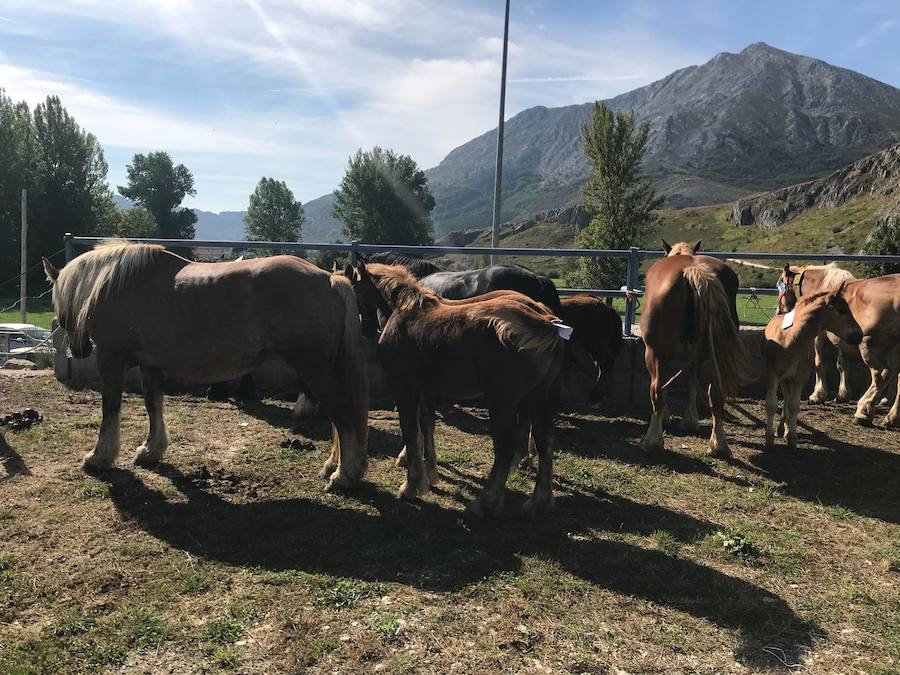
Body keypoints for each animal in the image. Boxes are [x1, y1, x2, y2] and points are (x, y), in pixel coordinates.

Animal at [43, 239, 370, 492]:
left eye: (59, 304)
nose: (79, 350)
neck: (116, 282)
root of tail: (329, 279)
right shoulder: (151, 366)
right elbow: (153, 404)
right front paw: (150, 450)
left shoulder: (112, 359)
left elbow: (110, 409)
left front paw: (99, 457)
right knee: (339, 420)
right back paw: (333, 467)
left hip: (315, 371)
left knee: (342, 415)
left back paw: (344, 475)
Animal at [348, 262, 568, 516]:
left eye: (353, 289)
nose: (364, 330)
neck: (407, 310)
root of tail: (546, 319)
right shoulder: (426, 391)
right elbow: (427, 427)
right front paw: (430, 474)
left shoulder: (404, 390)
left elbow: (411, 434)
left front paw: (411, 485)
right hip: (538, 397)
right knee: (544, 441)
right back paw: (539, 501)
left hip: (503, 401)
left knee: (506, 447)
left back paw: (485, 502)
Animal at [640, 240, 752, 456]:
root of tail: (692, 271)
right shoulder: (697, 357)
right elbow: (691, 382)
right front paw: (690, 420)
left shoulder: (664, 355)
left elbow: (667, 386)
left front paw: (668, 418)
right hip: (717, 354)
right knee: (716, 393)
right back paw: (719, 445)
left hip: (653, 352)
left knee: (656, 389)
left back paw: (652, 441)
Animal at [768, 288, 864, 452]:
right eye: (842, 310)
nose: (859, 335)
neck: (791, 340)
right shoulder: (773, 375)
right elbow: (772, 405)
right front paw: (769, 439)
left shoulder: (800, 378)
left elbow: (794, 406)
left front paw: (791, 437)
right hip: (784, 378)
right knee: (784, 398)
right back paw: (780, 429)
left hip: (789, 379)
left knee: (787, 399)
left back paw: (783, 429)